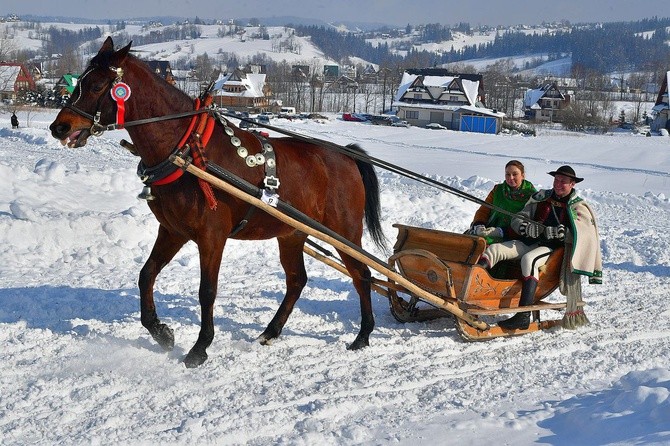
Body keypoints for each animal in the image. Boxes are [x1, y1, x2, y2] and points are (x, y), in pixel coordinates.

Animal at [50, 37, 386, 366]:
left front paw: (200, 347)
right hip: (292, 233)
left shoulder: (212, 236)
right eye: (79, 80)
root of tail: (346, 155)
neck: (187, 148)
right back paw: (271, 331)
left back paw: (363, 335)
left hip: (343, 231)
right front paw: (161, 332)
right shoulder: (173, 231)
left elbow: (206, 291)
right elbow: (146, 276)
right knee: (296, 280)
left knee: (362, 274)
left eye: (96, 86)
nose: (59, 127)